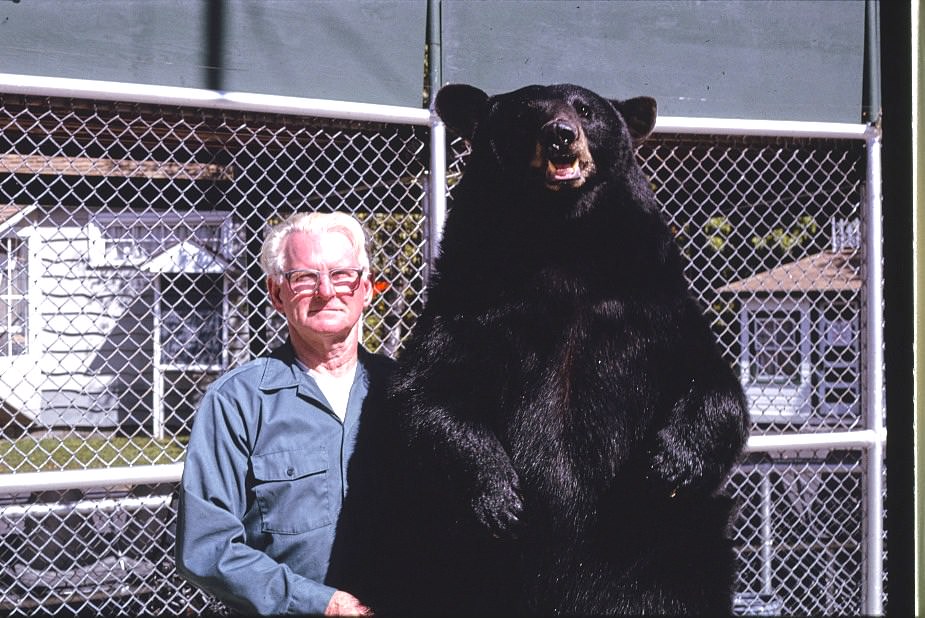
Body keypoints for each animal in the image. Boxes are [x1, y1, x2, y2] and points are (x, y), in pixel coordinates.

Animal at [328, 83, 748, 616]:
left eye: (585, 110)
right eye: (527, 114)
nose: (560, 135)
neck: (559, 240)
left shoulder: (653, 303)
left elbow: (712, 382)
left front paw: (670, 463)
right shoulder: (470, 305)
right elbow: (428, 394)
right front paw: (500, 497)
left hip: (676, 545)